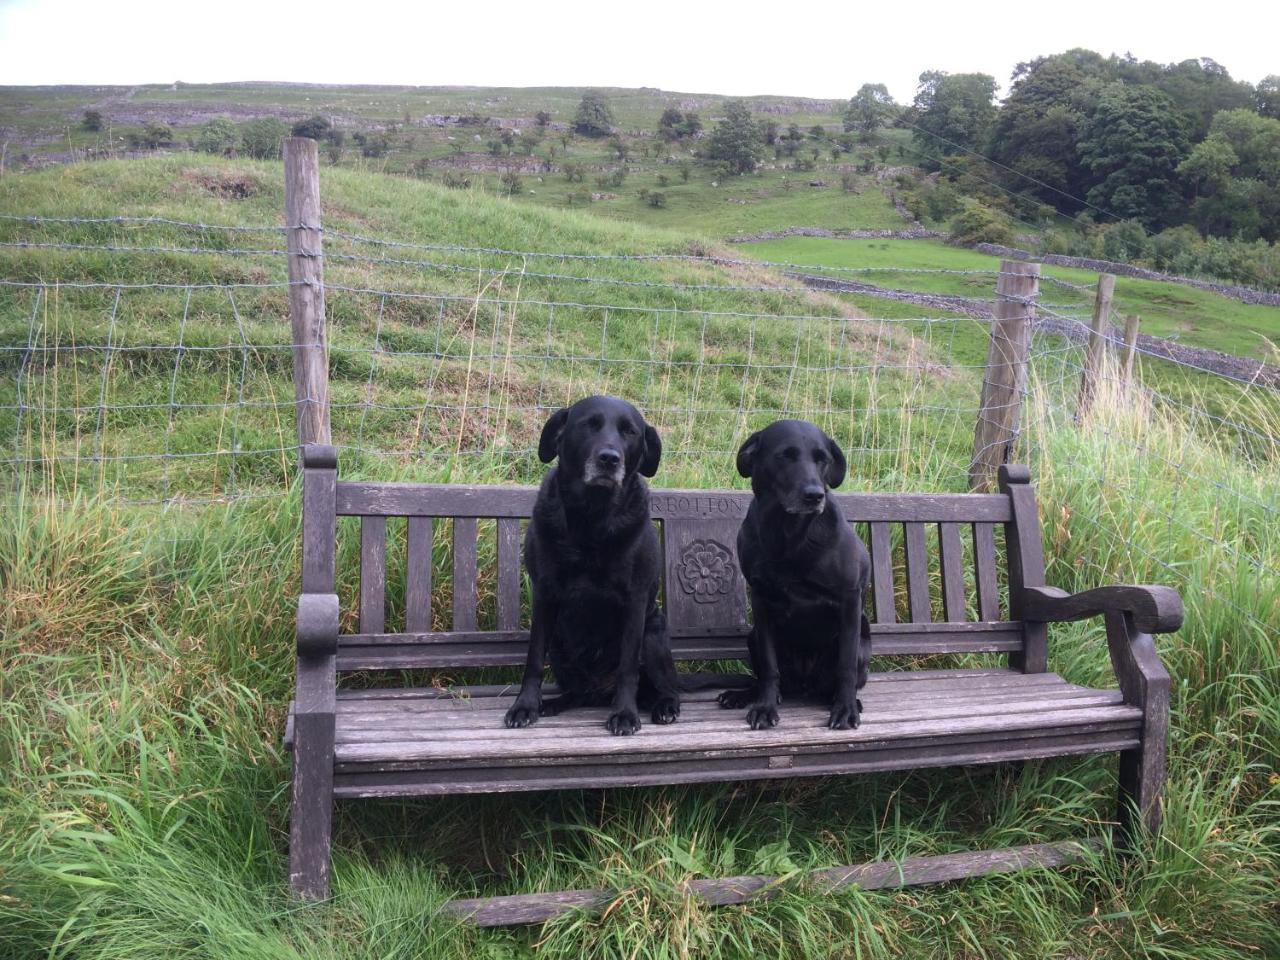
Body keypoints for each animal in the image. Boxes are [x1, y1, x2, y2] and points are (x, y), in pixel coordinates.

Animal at [501, 396, 686, 737]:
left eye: (629, 431)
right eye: (589, 424)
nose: (609, 459)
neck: (591, 517)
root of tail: (601, 690)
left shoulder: (635, 601)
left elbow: (628, 667)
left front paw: (625, 714)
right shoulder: (544, 595)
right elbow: (533, 660)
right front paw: (525, 706)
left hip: (653, 634)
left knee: (668, 688)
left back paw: (664, 706)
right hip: (559, 644)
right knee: (578, 693)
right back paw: (554, 703)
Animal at [721, 419, 870, 727]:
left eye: (822, 459)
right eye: (785, 456)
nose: (814, 495)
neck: (789, 535)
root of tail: (804, 685)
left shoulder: (850, 599)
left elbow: (846, 666)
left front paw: (846, 708)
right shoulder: (761, 601)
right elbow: (769, 667)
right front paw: (764, 706)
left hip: (862, 645)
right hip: (752, 636)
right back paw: (744, 694)